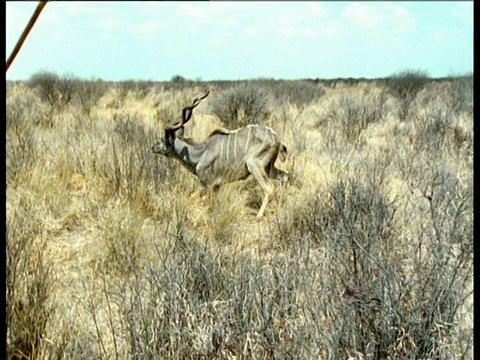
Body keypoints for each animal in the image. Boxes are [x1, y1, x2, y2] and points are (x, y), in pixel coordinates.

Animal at [153, 91, 288, 218]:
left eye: (163, 140)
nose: (153, 147)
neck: (200, 153)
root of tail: (277, 139)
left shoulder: (208, 185)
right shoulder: (216, 187)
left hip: (254, 165)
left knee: (270, 188)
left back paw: (259, 216)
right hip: (269, 167)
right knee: (285, 176)